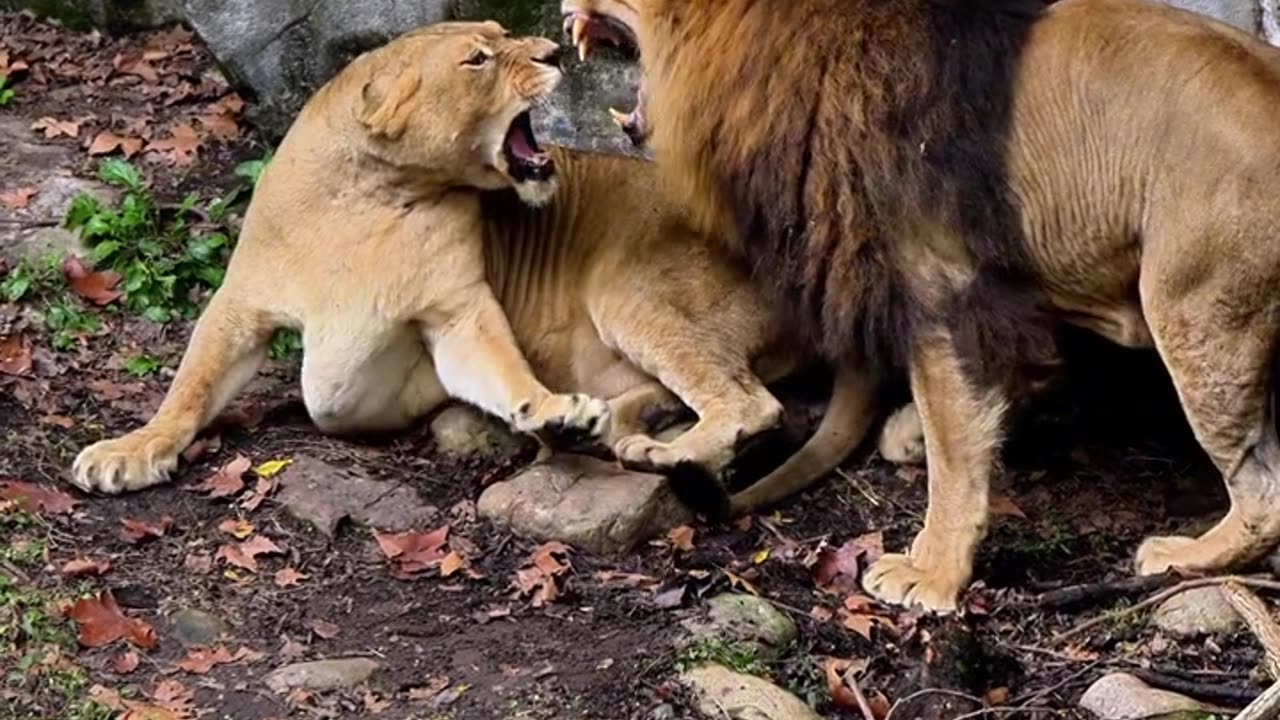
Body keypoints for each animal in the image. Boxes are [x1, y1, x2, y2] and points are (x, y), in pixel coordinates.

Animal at [70, 21, 923, 518]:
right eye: (479, 57)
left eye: (505, 35)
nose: (553, 52)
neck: (371, 195)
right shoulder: (242, 303)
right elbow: (189, 387)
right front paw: (130, 450)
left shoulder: (453, 317)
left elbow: (499, 370)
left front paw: (547, 411)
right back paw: (618, 432)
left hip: (629, 291)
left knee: (752, 404)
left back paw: (660, 452)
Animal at [562, 0, 1280, 612]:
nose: (565, 7)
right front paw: (909, 434)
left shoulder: (940, 287)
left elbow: (953, 446)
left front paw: (930, 573)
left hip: (1197, 315)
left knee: (1262, 485)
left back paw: (1188, 554)